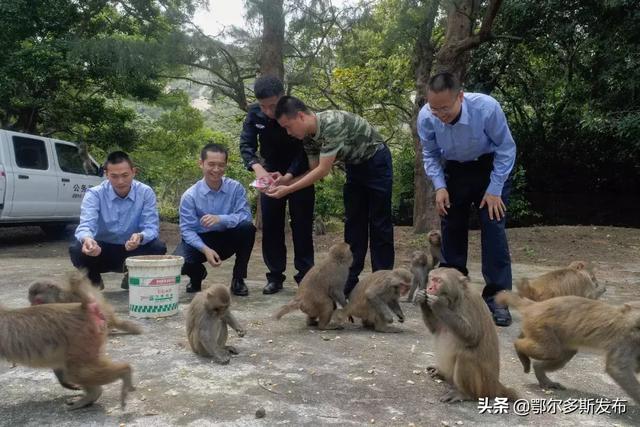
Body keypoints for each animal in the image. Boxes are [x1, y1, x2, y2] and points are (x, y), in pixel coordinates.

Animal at [0, 272, 135, 410]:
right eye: (32, 301)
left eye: (38, 301)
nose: (32, 306)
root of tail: (84, 309)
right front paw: (66, 383)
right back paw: (91, 394)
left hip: (83, 339)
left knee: (77, 371)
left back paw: (124, 372)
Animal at [416, 270, 516, 402]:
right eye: (431, 279)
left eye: (438, 281)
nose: (430, 288)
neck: (454, 301)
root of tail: (495, 386)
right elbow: (437, 329)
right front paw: (422, 298)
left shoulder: (469, 304)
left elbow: (472, 335)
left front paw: (438, 305)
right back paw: (441, 373)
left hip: (482, 388)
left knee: (465, 356)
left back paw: (465, 394)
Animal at [498, 290, 640, 404]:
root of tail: (536, 305)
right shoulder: (624, 338)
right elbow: (618, 369)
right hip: (540, 325)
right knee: (550, 351)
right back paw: (519, 347)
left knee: (563, 354)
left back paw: (539, 370)